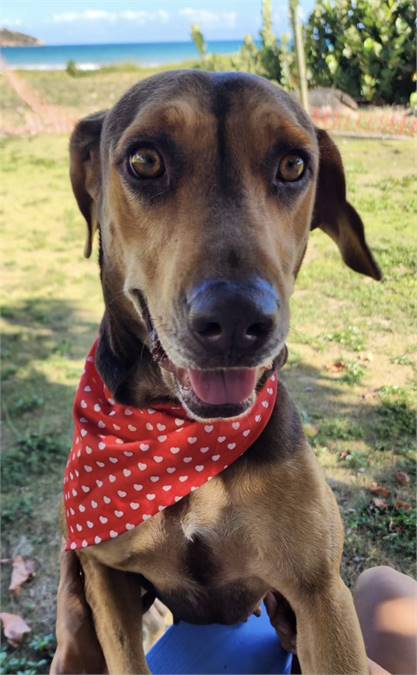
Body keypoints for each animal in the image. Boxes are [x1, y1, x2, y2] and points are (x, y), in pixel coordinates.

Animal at [51, 71, 380, 672]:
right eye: (145, 161)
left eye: (293, 165)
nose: (235, 318)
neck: (181, 437)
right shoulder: (106, 577)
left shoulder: (321, 594)